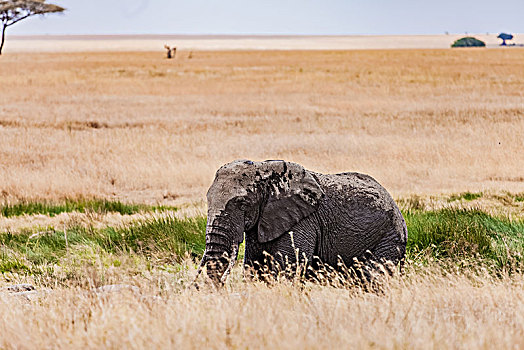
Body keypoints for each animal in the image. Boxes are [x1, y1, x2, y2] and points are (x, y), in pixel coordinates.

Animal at [194, 160, 408, 286]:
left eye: (242, 203)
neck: (264, 170)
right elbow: (255, 267)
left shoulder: (303, 221)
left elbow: (287, 268)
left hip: (388, 238)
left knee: (372, 279)